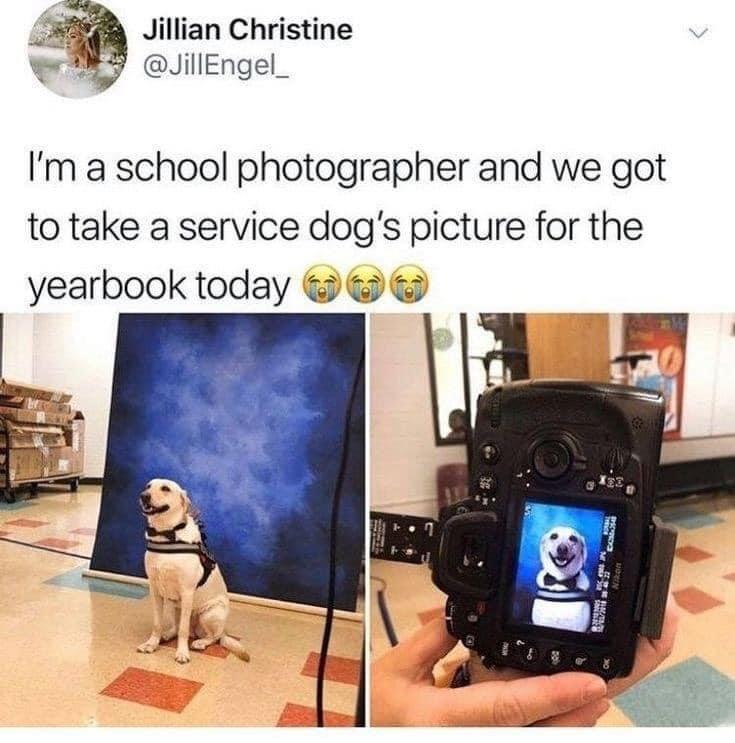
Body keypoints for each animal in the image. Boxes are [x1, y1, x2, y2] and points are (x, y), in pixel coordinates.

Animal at [137, 480, 250, 664]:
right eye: (148, 486)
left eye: (165, 488)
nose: (143, 496)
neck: (167, 534)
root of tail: (224, 630)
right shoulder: (155, 591)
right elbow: (157, 624)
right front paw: (151, 644)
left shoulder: (187, 591)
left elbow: (183, 630)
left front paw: (182, 653)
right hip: (174, 606)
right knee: (177, 628)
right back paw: (166, 635)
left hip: (209, 614)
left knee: (213, 637)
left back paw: (201, 642)